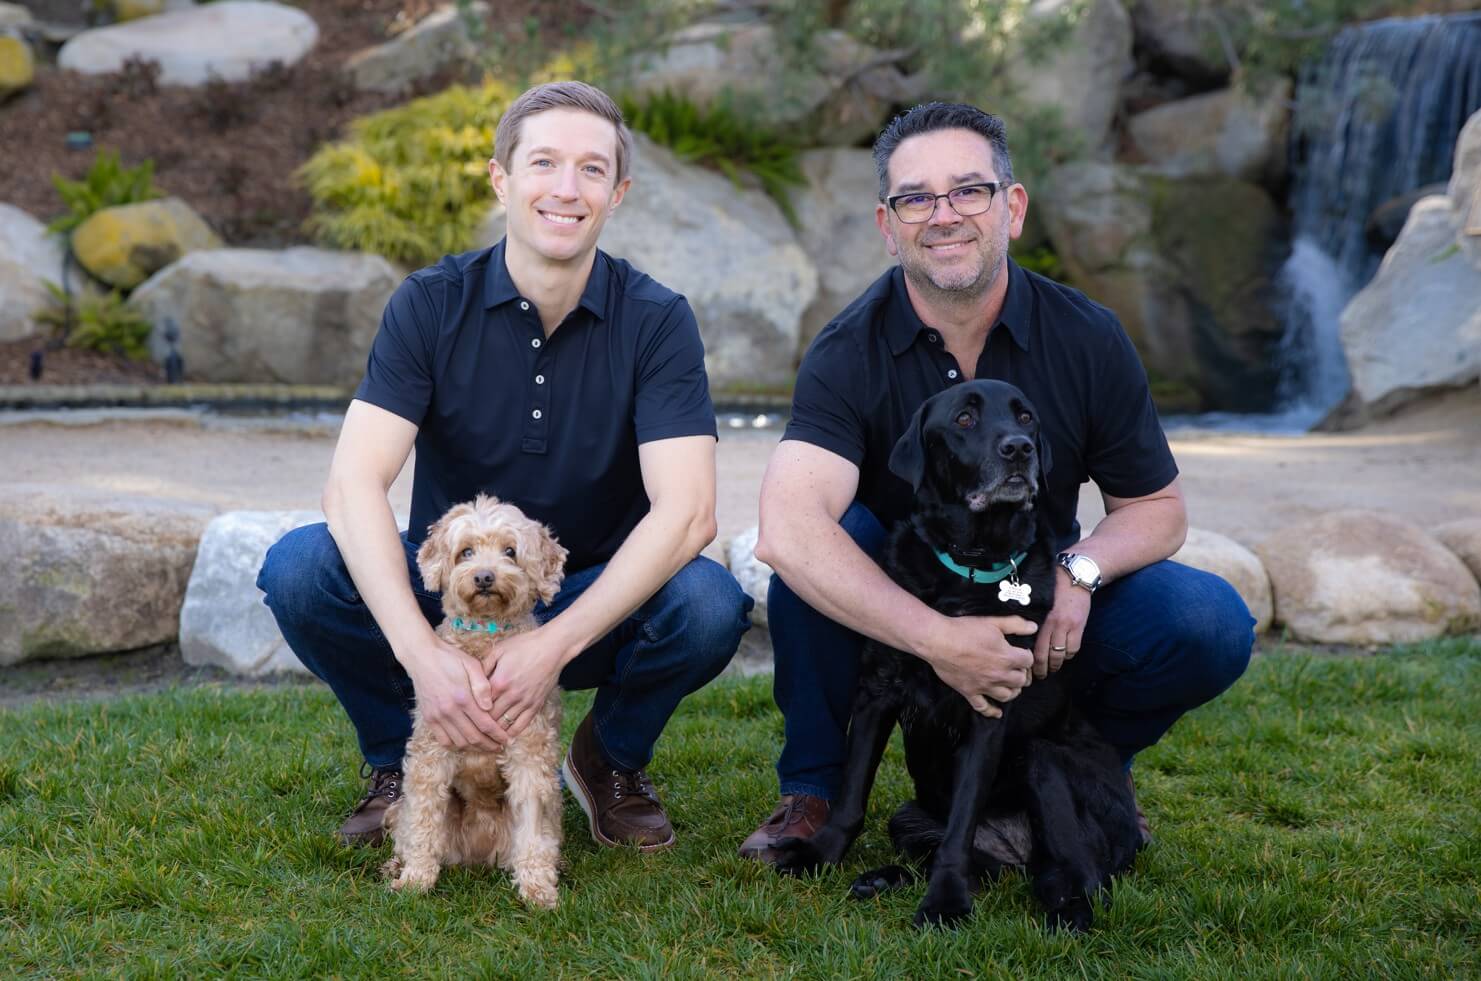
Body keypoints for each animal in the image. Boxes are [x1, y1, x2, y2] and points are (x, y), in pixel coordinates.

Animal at [770, 379, 1137, 936]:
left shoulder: (990, 707)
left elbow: (960, 827)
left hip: (1045, 761)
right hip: (909, 813)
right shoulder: (876, 692)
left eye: (1026, 417)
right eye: (964, 419)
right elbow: (852, 794)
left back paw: (1065, 912)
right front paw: (820, 855)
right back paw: (882, 878)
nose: (1019, 449)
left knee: (1077, 873)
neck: (968, 566)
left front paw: (944, 902)